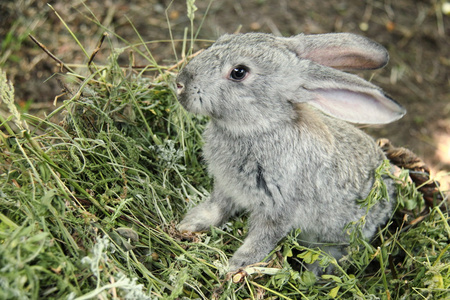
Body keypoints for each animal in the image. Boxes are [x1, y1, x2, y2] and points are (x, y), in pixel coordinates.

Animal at [174, 32, 406, 274]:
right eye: (221, 39)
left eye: (239, 72)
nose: (180, 83)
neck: (261, 126)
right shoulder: (226, 187)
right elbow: (217, 208)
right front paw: (190, 223)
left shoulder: (279, 207)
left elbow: (261, 239)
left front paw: (235, 266)